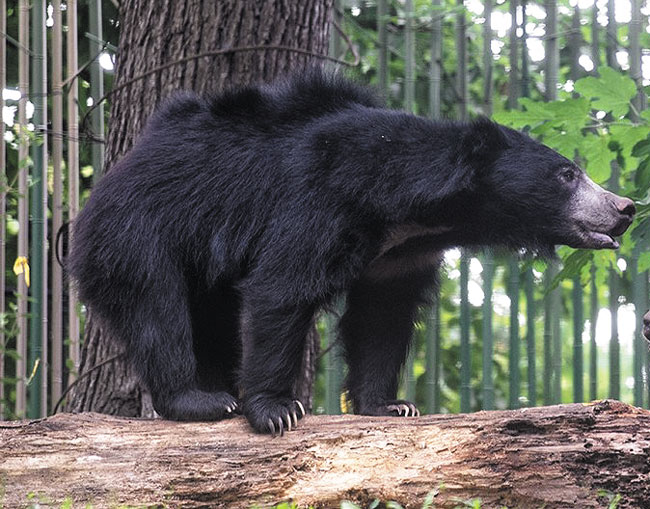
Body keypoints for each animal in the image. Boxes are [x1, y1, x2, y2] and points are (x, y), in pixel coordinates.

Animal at [68, 69, 636, 430]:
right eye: (568, 174)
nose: (625, 208)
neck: (418, 212)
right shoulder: (321, 197)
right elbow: (282, 288)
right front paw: (276, 411)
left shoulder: (401, 253)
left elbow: (381, 317)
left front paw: (390, 406)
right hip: (141, 229)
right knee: (155, 306)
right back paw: (200, 400)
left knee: (212, 318)